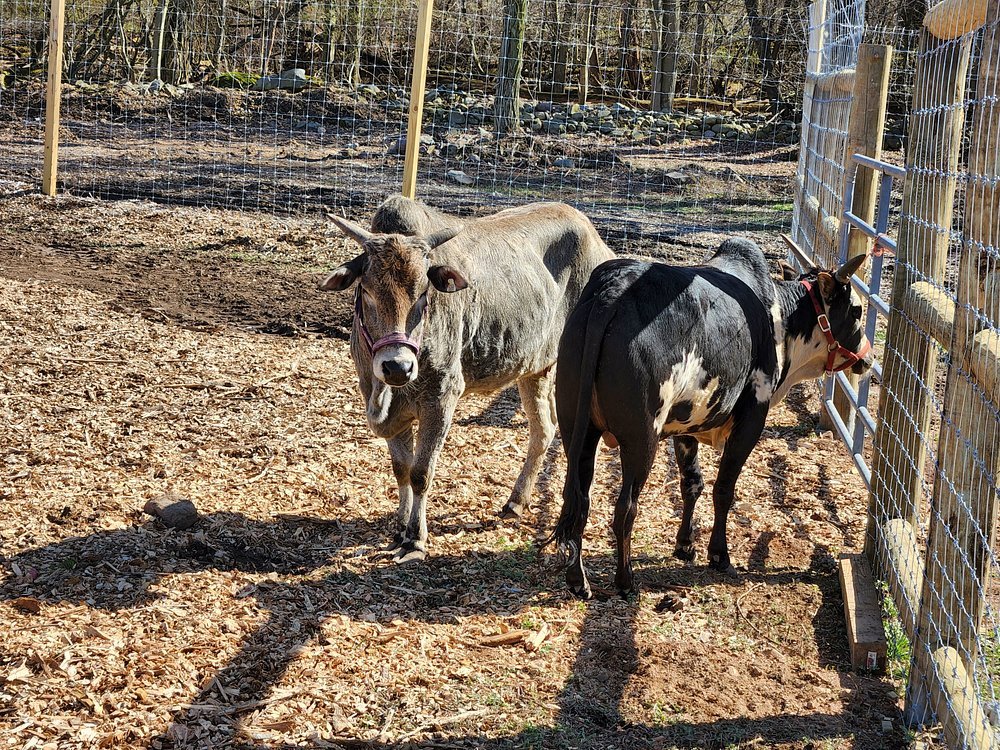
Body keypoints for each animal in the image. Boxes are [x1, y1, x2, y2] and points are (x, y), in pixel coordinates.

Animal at [320, 201, 615, 563]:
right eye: (367, 291)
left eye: (424, 294)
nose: (397, 367)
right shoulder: (389, 407)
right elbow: (401, 468)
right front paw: (399, 528)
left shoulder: (441, 399)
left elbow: (420, 473)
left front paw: (415, 539)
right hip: (535, 369)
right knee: (544, 430)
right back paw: (516, 501)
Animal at [550, 238, 872, 598]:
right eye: (857, 311)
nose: (868, 357)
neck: (781, 320)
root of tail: (612, 290)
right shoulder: (751, 420)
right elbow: (723, 489)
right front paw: (719, 554)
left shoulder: (686, 426)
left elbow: (692, 484)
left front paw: (685, 545)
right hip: (641, 439)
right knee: (625, 509)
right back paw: (625, 580)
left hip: (576, 431)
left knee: (579, 501)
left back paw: (578, 580)